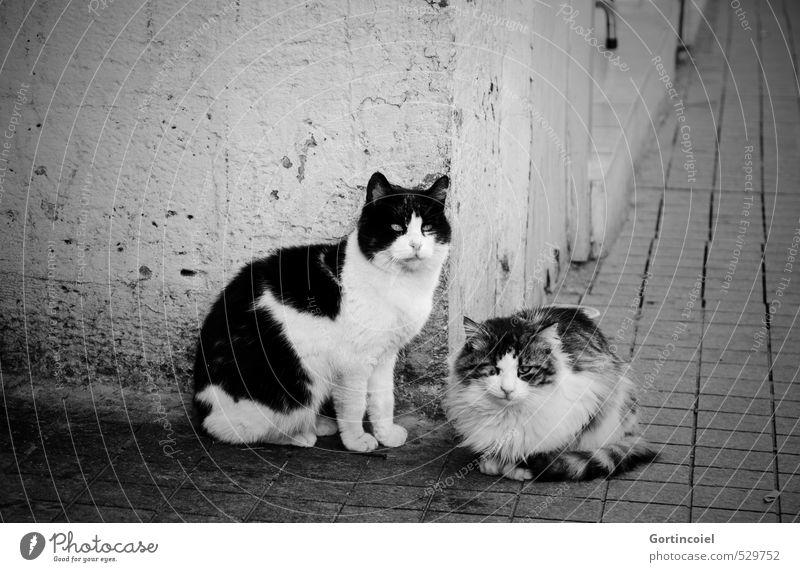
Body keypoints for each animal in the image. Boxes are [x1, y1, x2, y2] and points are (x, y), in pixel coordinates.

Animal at [194, 170, 450, 452]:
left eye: (427, 228)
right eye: (396, 228)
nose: (416, 244)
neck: (402, 283)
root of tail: (203, 405)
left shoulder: (384, 354)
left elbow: (383, 399)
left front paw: (386, 435)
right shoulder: (353, 361)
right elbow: (355, 404)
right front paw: (356, 441)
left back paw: (319, 425)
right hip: (302, 377)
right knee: (239, 430)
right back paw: (299, 435)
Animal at [444, 306, 656, 480]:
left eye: (524, 370)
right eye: (493, 370)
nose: (507, 389)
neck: (507, 413)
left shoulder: (587, 400)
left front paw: (517, 467)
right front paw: (494, 460)